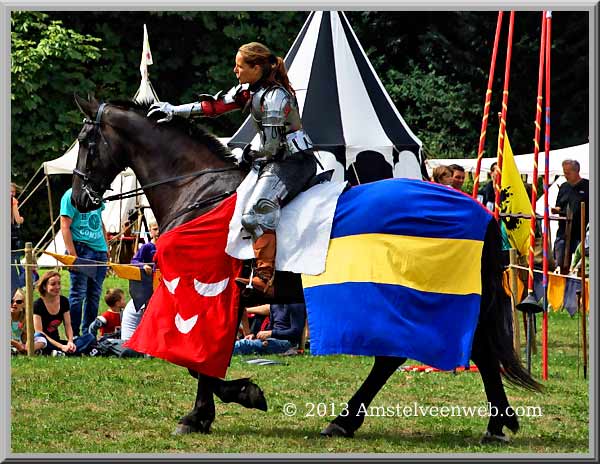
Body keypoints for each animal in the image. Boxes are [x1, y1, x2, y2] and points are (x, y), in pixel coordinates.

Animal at [71, 97, 544, 442]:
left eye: (86, 141)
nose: (78, 198)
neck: (197, 189)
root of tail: (478, 210)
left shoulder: (204, 294)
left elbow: (197, 361)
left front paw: (225, 402)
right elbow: (200, 360)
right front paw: (209, 411)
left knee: (427, 354)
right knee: (462, 351)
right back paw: (491, 422)